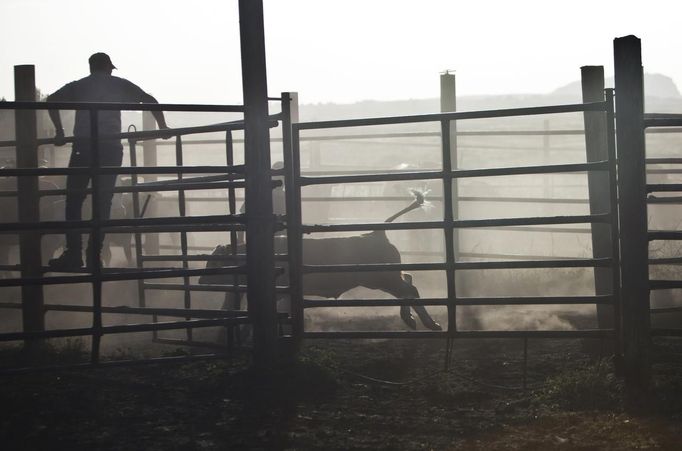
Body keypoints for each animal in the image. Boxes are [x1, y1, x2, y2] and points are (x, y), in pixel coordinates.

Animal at [197, 192, 440, 334]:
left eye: (215, 261)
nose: (200, 281)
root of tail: (376, 233)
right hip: (383, 278)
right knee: (407, 281)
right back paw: (410, 320)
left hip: (381, 277)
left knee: (409, 289)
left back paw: (430, 324)